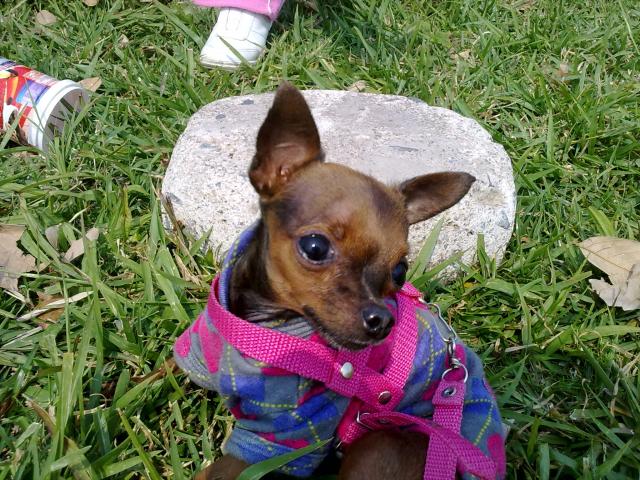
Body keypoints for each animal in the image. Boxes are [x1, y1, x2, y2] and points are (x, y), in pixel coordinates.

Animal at [173, 83, 506, 480]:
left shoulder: (282, 436)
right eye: (315, 247)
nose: (382, 320)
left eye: (400, 271)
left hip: (382, 445)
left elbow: (224, 469)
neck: (258, 329)